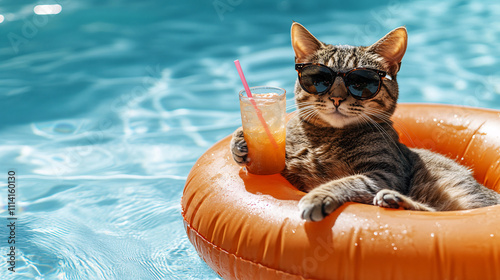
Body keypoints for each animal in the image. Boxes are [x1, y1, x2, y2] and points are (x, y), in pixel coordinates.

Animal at [230, 22, 500, 221]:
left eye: (360, 82)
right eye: (320, 79)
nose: (336, 98)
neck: (324, 140)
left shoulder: (386, 172)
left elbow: (349, 181)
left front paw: (318, 196)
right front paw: (241, 142)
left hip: (457, 191)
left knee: (440, 213)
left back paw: (395, 200)